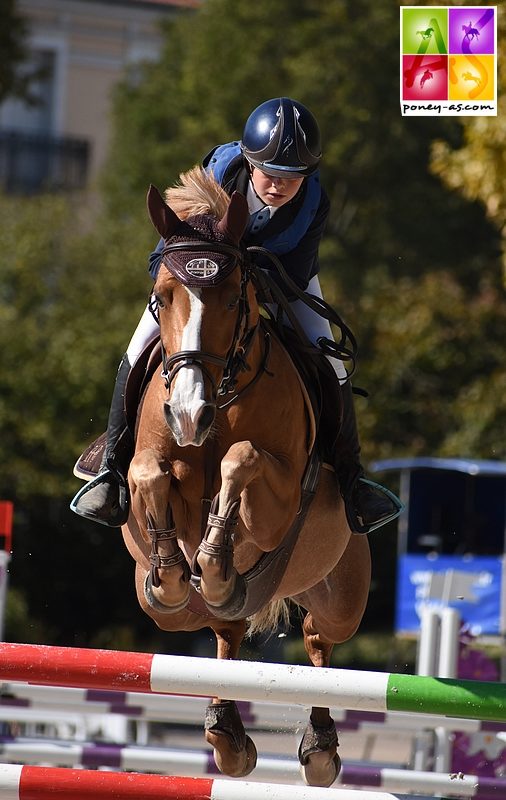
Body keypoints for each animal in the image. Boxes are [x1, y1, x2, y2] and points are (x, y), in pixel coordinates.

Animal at [120, 166, 370, 784]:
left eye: (235, 297)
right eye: (162, 297)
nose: (189, 414)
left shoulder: (279, 500)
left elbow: (242, 459)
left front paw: (213, 552)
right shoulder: (150, 468)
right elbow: (149, 473)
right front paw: (175, 568)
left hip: (341, 597)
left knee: (318, 639)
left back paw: (320, 749)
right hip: (172, 612)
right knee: (223, 630)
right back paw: (227, 734)